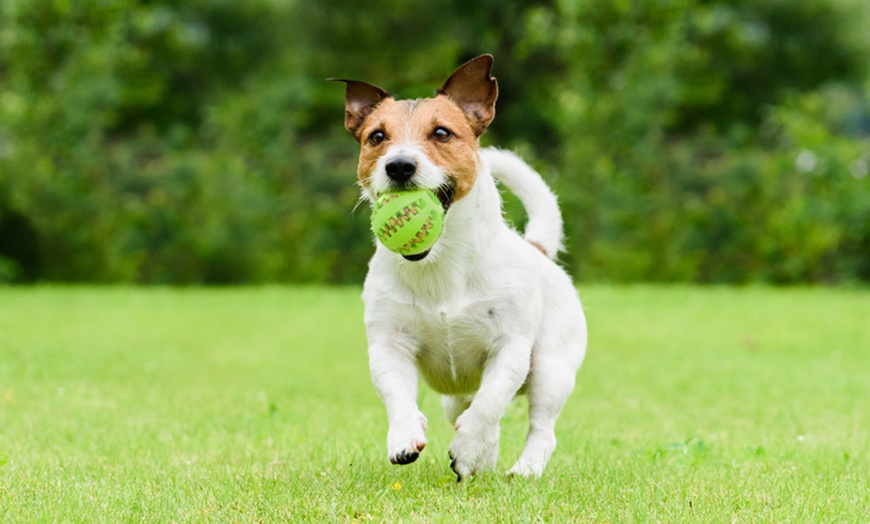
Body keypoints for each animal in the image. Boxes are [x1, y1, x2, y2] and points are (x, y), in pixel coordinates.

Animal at [338, 54, 588, 478]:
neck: (441, 264)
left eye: (442, 133)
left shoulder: (511, 348)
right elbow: (397, 393)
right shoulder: (389, 343)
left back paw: (521, 468)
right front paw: (405, 437)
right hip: (454, 395)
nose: (399, 165)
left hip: (551, 369)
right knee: (470, 409)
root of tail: (537, 249)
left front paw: (469, 447)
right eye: (376, 136)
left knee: (538, 427)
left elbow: (490, 402)